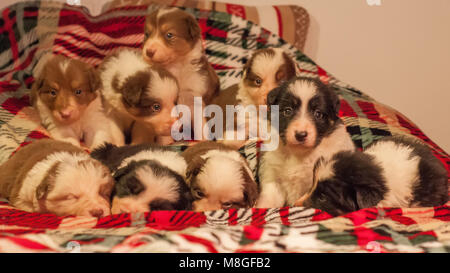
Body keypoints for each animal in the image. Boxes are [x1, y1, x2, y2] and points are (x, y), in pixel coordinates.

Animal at [142, 6, 220, 136]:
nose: (149, 52)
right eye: (147, 35)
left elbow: (200, 124)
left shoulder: (194, 95)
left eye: (169, 35)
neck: (175, 66)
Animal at [256, 77, 356, 207]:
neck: (298, 152)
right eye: (288, 111)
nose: (300, 135)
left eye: (318, 113)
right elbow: (270, 199)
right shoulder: (272, 172)